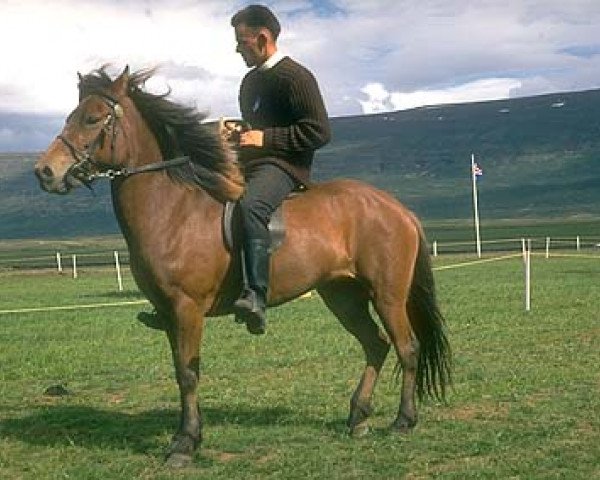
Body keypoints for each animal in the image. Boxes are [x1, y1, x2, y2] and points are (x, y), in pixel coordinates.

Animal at [34, 65, 450, 466]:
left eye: (92, 118)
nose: (44, 171)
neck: (174, 210)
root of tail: (397, 208)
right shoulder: (168, 313)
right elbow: (180, 371)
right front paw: (190, 435)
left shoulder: (187, 309)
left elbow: (188, 373)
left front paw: (184, 443)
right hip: (342, 296)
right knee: (376, 345)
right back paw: (358, 417)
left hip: (387, 295)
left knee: (407, 347)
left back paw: (403, 420)